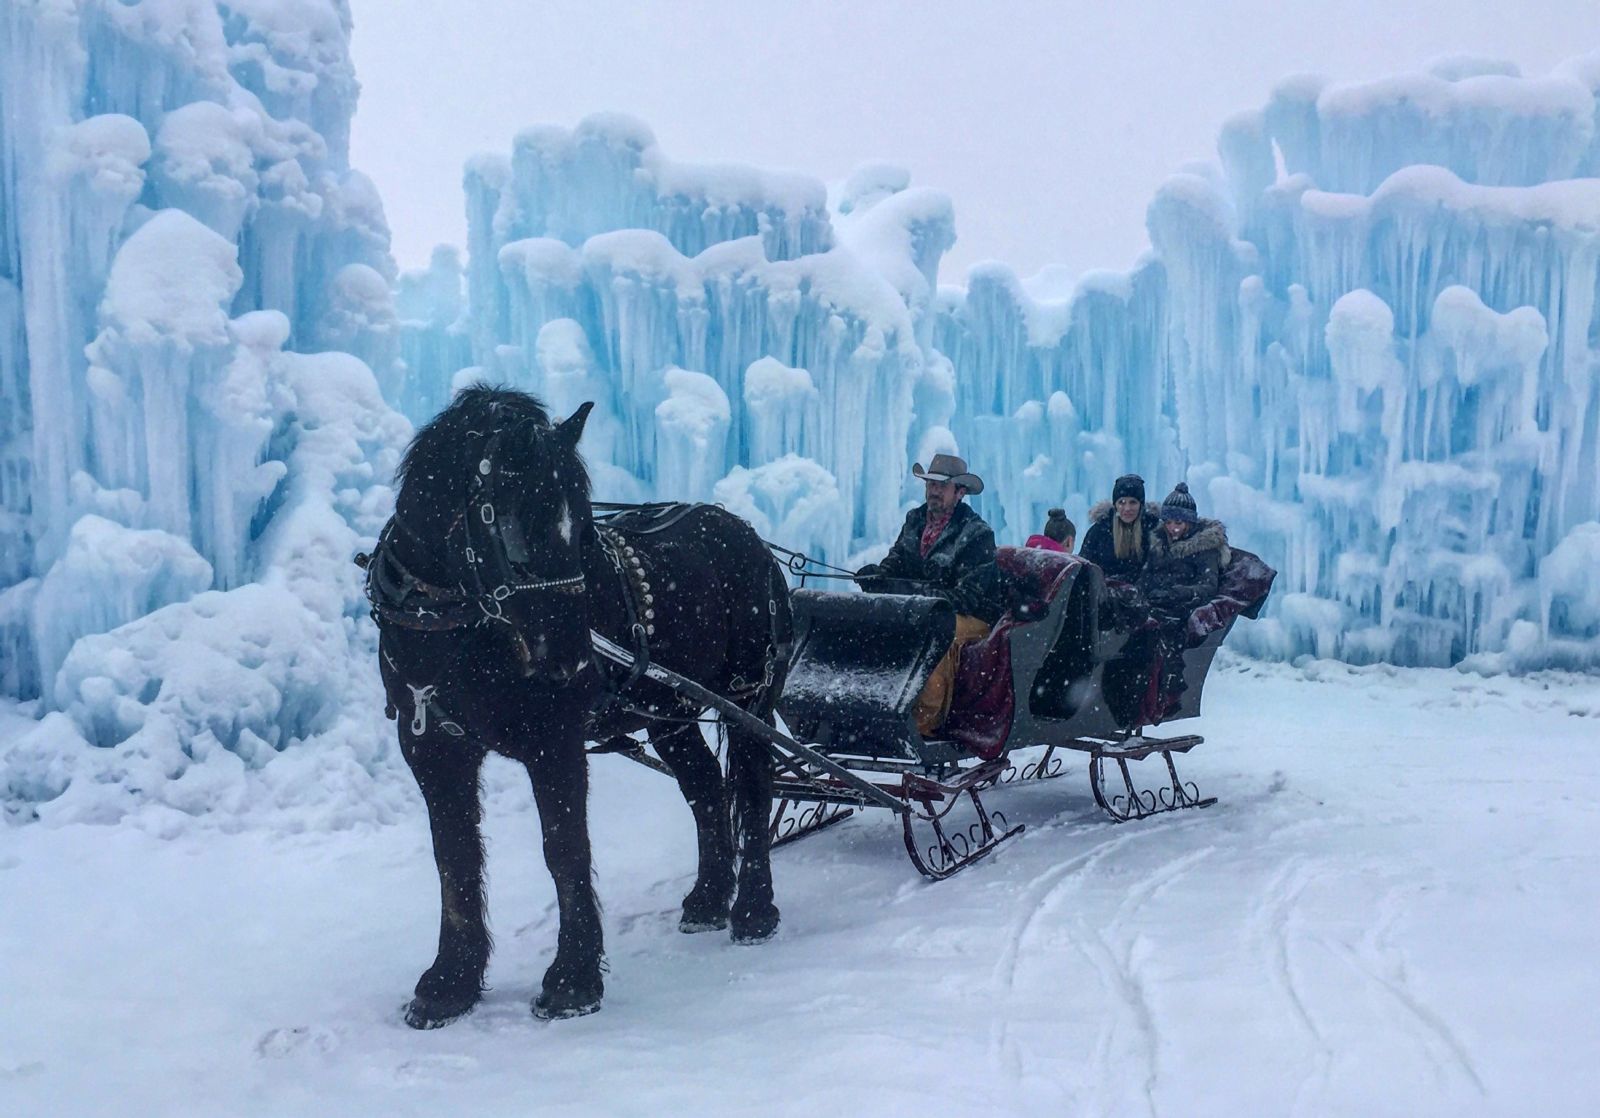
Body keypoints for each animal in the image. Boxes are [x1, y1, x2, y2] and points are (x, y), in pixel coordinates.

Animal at [361, 388, 787, 1030]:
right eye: (516, 531)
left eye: (583, 530)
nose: (569, 658)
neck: (451, 626)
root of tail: (751, 539)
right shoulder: (432, 748)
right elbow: (453, 856)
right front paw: (450, 982)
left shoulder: (553, 741)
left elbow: (564, 849)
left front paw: (572, 979)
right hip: (670, 714)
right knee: (707, 789)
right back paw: (709, 899)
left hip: (747, 700)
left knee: (754, 789)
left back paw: (755, 910)